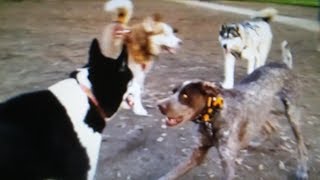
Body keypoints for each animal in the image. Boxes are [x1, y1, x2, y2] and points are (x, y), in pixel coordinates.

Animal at [158, 42, 308, 180]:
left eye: (185, 96)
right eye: (173, 92)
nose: (159, 105)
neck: (213, 117)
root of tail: (284, 65)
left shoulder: (227, 162)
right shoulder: (197, 154)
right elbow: (170, 174)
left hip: (292, 115)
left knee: (300, 145)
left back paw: (302, 170)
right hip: (262, 111)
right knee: (272, 127)